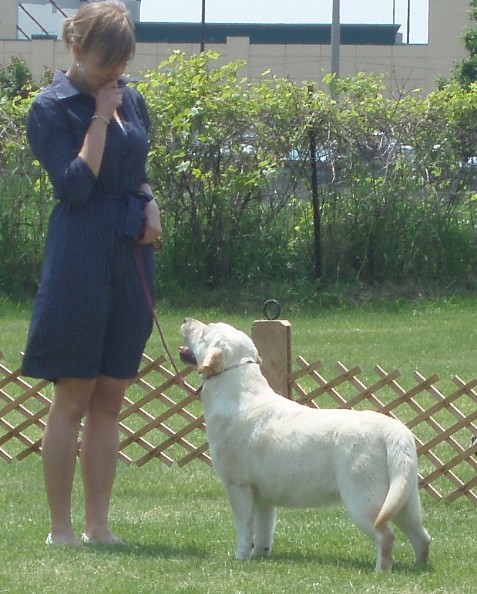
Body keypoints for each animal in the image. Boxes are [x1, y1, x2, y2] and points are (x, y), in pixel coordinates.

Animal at [179, 318, 431, 571]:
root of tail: (394, 430)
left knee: (386, 536)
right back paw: (419, 568)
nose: (186, 320)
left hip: (362, 501)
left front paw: (241, 559)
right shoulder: (263, 498)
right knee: (422, 537)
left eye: (204, 331)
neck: (235, 389)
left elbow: (244, 531)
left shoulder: (238, 486)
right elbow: (263, 532)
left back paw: (381, 571)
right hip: (404, 499)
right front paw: (260, 557)